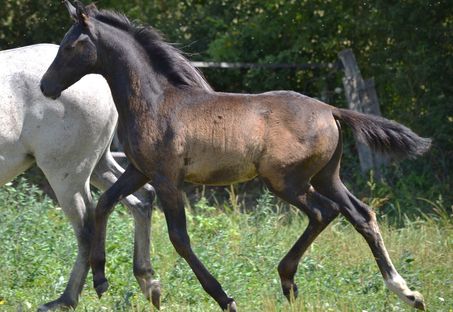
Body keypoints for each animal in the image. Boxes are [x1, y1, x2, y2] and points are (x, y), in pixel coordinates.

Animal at [0, 45, 159, 310]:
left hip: (68, 176)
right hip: (98, 166)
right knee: (141, 200)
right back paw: (148, 282)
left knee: (87, 230)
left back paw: (66, 299)